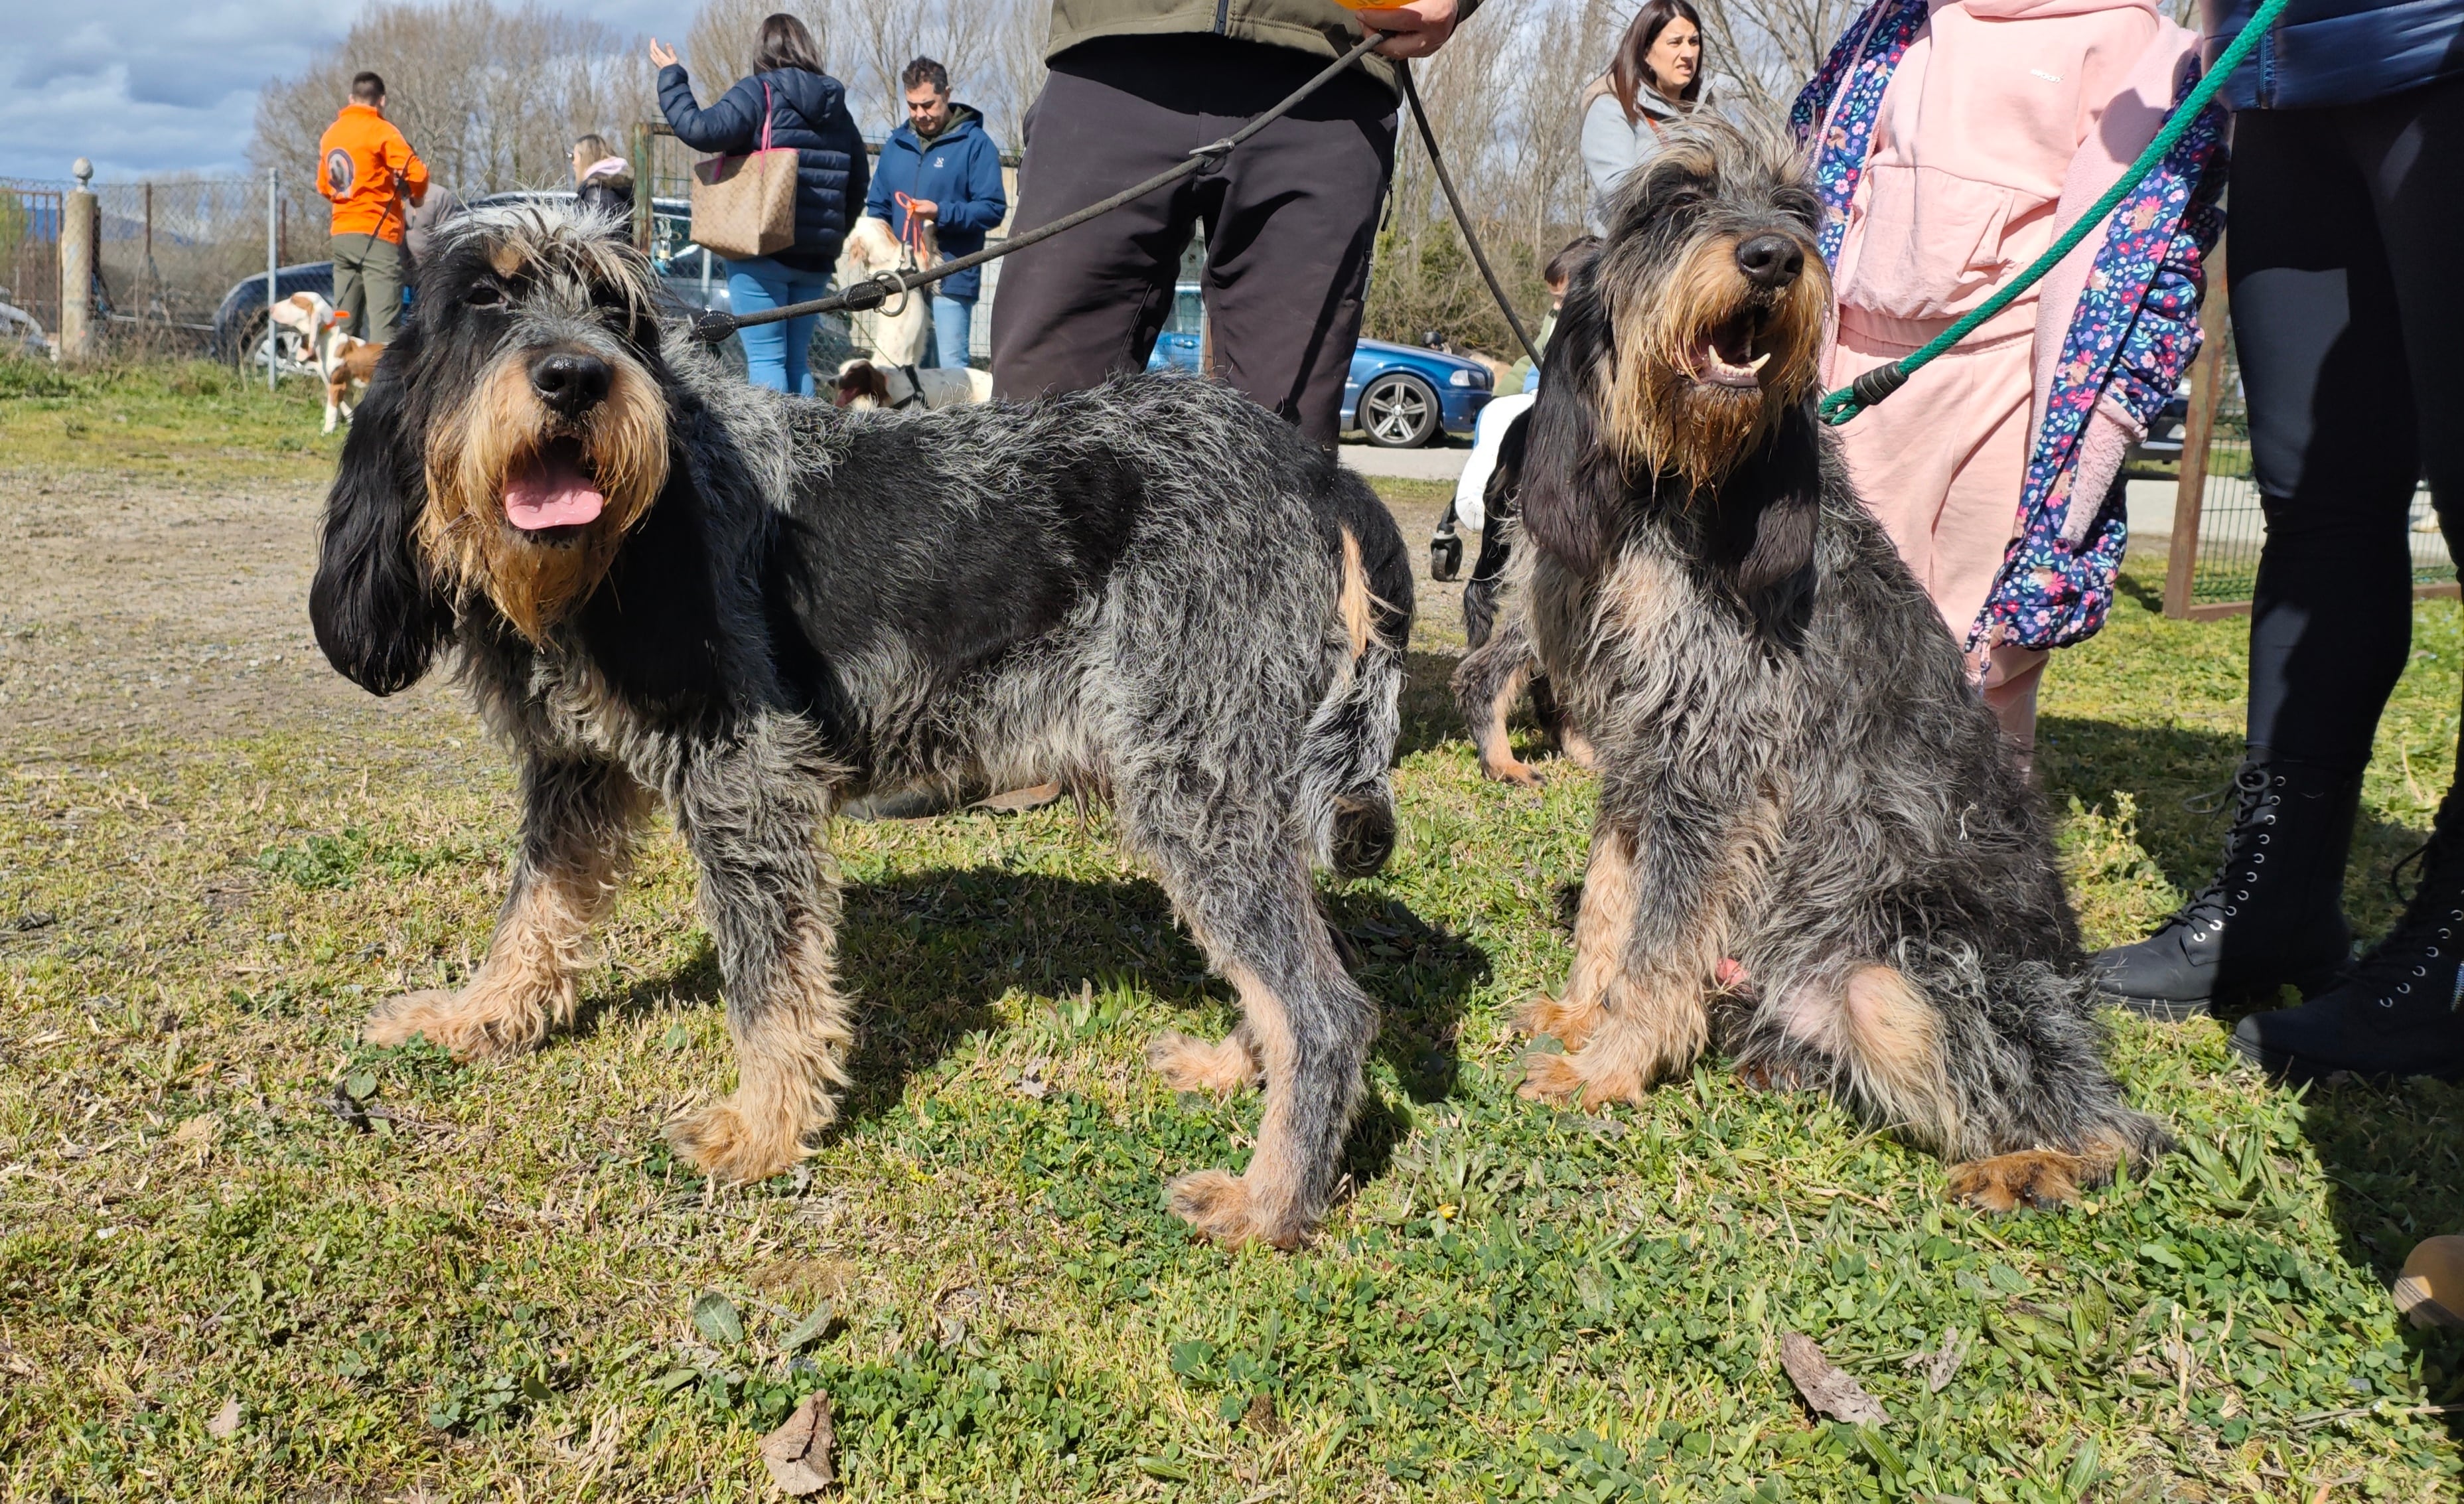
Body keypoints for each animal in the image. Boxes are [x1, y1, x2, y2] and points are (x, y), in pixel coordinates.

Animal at [269, 288, 384, 431]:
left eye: (294, 301)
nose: (270, 309)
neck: (327, 342)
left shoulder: (336, 386)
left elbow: (331, 412)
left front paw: (326, 432)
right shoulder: (344, 390)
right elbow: (349, 413)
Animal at [317, 204, 1419, 1247]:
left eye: (617, 313)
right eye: (484, 301)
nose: (575, 377)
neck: (600, 558)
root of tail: (1317, 471)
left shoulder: (747, 784)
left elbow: (770, 985)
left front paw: (762, 1129)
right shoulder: (574, 775)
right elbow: (532, 913)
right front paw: (475, 1016)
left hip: (1195, 788)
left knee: (1325, 1011)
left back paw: (1269, 1203)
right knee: (1290, 974)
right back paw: (1237, 1067)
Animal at [1508, 125, 2168, 1208]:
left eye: (1799, 213)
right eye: (1674, 200)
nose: (1773, 258)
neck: (1678, 485)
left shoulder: (1712, 767)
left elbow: (1656, 942)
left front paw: (1606, 1062)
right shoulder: (1638, 757)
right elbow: (1611, 900)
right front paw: (1578, 1011)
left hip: (1897, 976)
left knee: (2123, 1129)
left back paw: (2026, 1166)